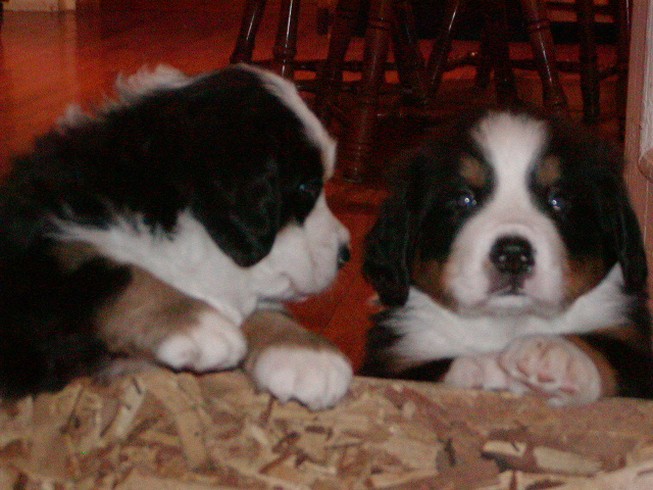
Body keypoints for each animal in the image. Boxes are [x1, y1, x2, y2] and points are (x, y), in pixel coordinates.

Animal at [0, 64, 352, 410]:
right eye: (307, 187)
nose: (345, 254)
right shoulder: (37, 264)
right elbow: (113, 270)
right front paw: (197, 324)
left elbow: (260, 303)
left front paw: (303, 352)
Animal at [362, 107, 652, 406]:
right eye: (464, 199)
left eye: (558, 200)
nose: (513, 255)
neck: (507, 324)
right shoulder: (393, 360)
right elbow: (432, 372)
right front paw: (482, 368)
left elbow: (607, 353)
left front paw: (556, 353)